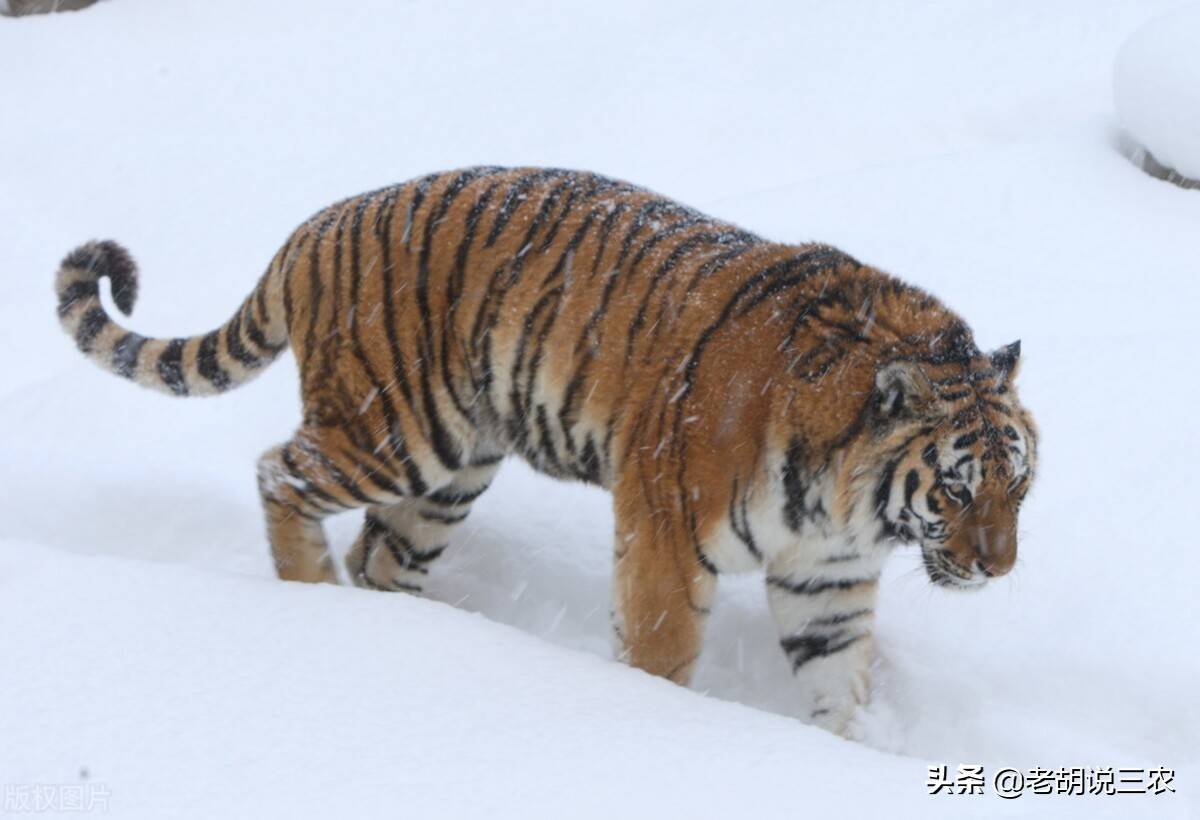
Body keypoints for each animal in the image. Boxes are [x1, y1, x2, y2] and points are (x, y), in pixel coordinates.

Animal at [54, 166, 1032, 739]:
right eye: (954, 491)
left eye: (1017, 488)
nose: (1000, 569)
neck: (848, 505)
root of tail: (315, 225)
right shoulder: (668, 537)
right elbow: (662, 657)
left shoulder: (827, 577)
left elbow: (837, 683)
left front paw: (837, 758)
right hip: (391, 433)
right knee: (279, 473)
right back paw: (313, 595)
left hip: (449, 473)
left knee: (382, 556)